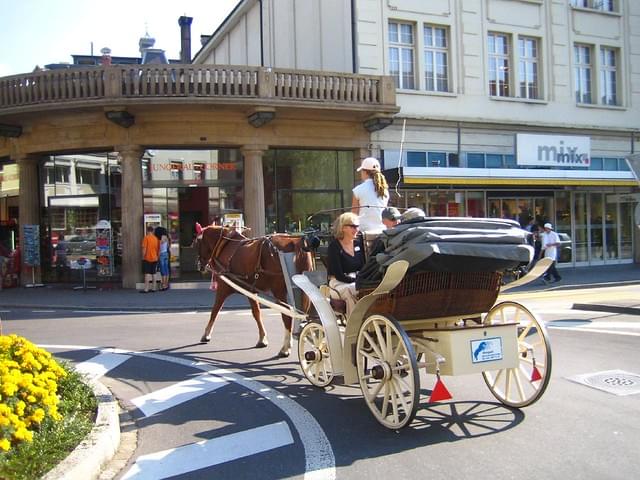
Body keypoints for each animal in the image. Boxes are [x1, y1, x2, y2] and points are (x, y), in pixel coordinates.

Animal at [195, 225, 316, 356]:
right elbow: (256, 313)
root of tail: (296, 242)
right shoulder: (251, 291)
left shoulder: (223, 287)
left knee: (287, 314)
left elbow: (215, 310)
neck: (224, 245)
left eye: (197, 243)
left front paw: (206, 334)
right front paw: (262, 338)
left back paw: (285, 347)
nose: (200, 266)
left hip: (278, 290)